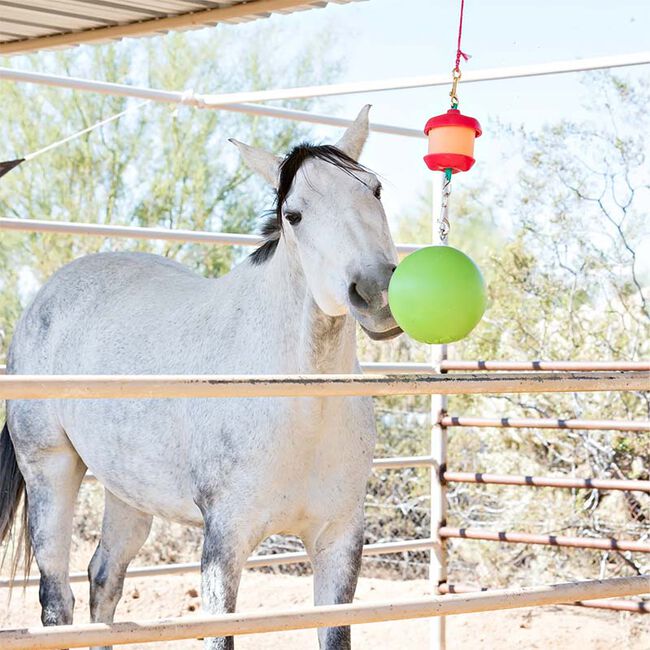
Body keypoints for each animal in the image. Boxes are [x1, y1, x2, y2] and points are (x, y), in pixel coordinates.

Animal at [1, 104, 400, 644]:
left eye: (374, 190)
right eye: (293, 215)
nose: (377, 292)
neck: (301, 406)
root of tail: (43, 299)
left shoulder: (338, 540)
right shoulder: (223, 543)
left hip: (127, 490)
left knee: (104, 578)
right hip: (50, 469)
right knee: (56, 598)